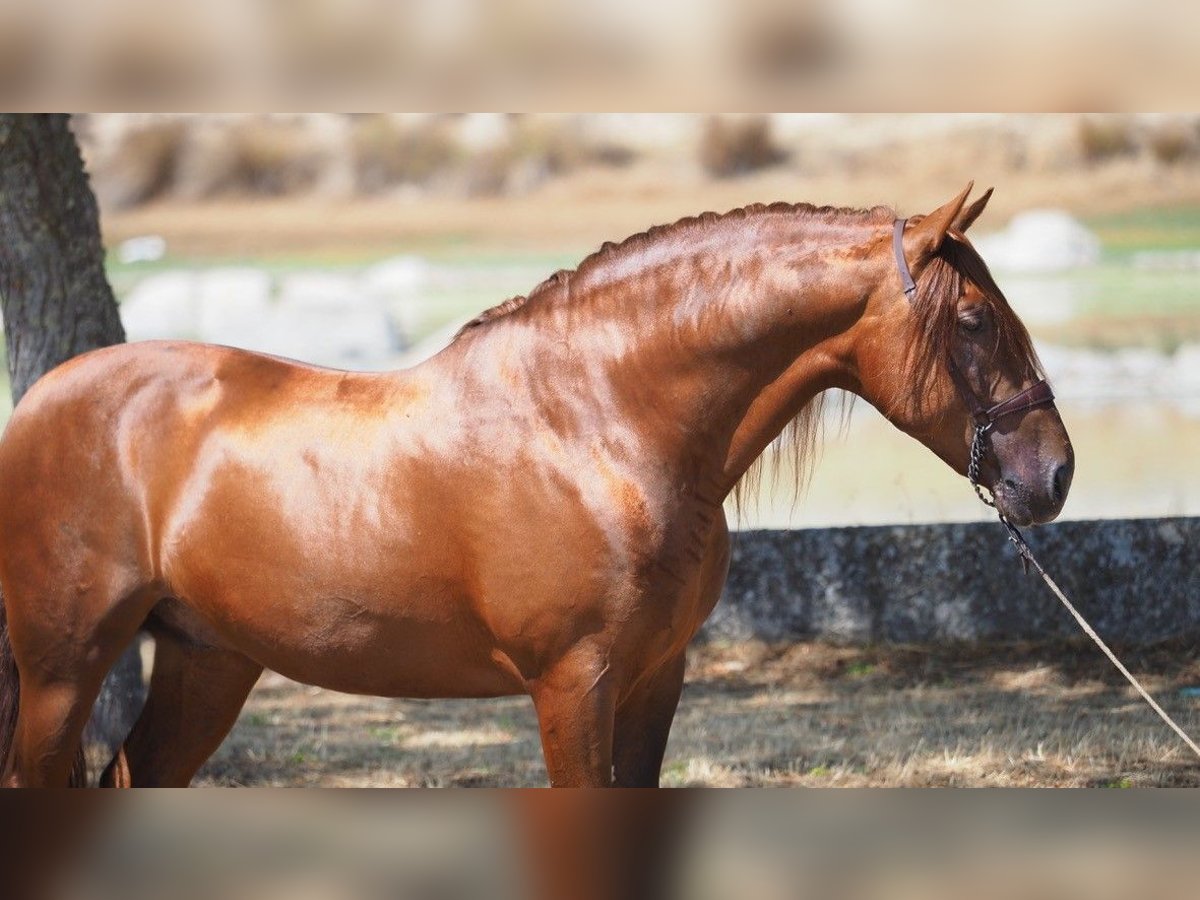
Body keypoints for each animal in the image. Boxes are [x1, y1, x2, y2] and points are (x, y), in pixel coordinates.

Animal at [0, 184, 1075, 787]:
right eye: (974, 318)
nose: (1054, 473)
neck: (601, 425)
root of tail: (38, 401)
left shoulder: (653, 681)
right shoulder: (573, 684)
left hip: (207, 661)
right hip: (62, 671)